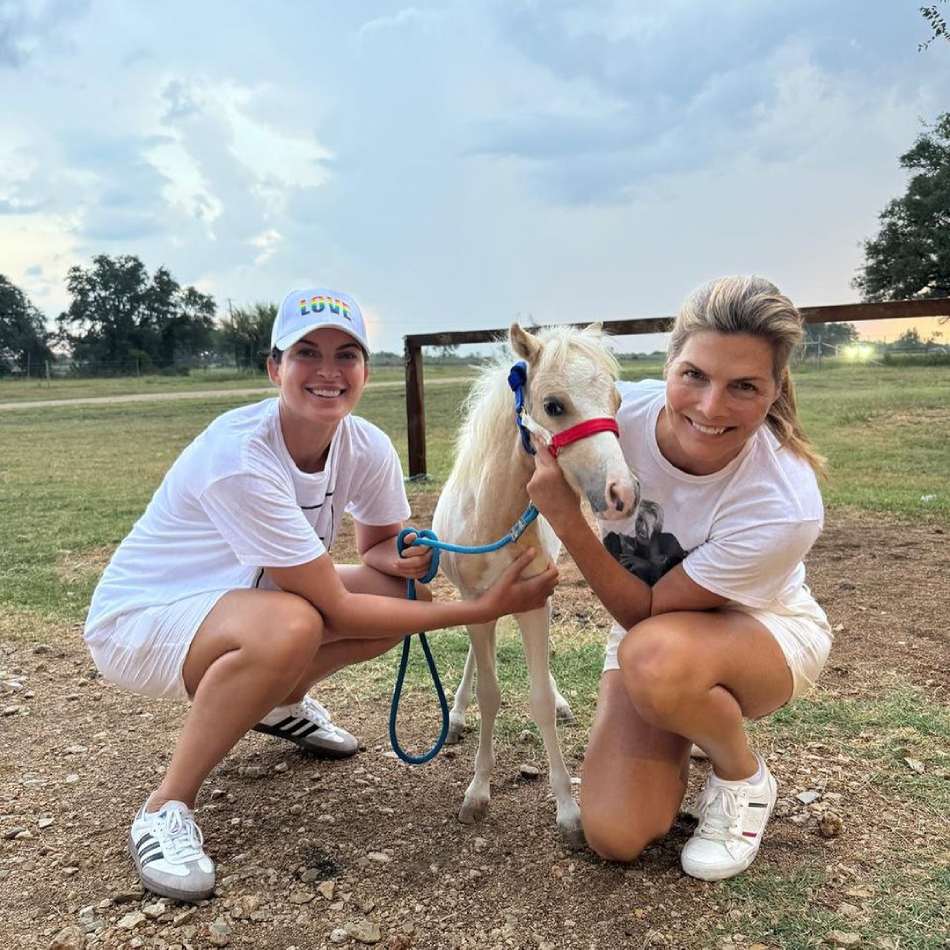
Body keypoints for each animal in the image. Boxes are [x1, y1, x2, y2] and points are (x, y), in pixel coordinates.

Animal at [434, 324, 640, 844]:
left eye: (617, 399)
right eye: (553, 405)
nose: (623, 494)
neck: (495, 519)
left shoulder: (534, 603)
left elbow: (540, 699)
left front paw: (568, 811)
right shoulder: (479, 604)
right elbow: (490, 695)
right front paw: (477, 792)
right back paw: (457, 715)